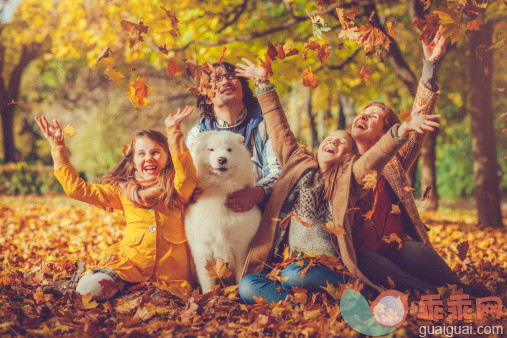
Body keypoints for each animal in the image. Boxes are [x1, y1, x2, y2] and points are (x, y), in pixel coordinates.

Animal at [186, 130, 262, 294]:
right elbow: (207, 279)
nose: (222, 159)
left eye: (229, 150)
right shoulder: (203, 247)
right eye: (211, 149)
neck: (219, 190)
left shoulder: (241, 246)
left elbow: (241, 273)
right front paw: (208, 295)